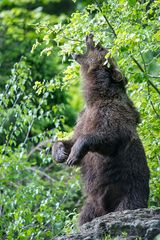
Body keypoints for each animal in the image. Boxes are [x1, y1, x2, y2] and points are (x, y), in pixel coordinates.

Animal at [52, 34, 150, 226]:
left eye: (101, 47)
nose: (90, 35)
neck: (96, 97)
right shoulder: (82, 118)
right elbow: (71, 139)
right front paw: (61, 153)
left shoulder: (112, 114)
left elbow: (109, 137)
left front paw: (74, 153)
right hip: (92, 205)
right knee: (84, 217)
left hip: (130, 190)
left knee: (128, 205)